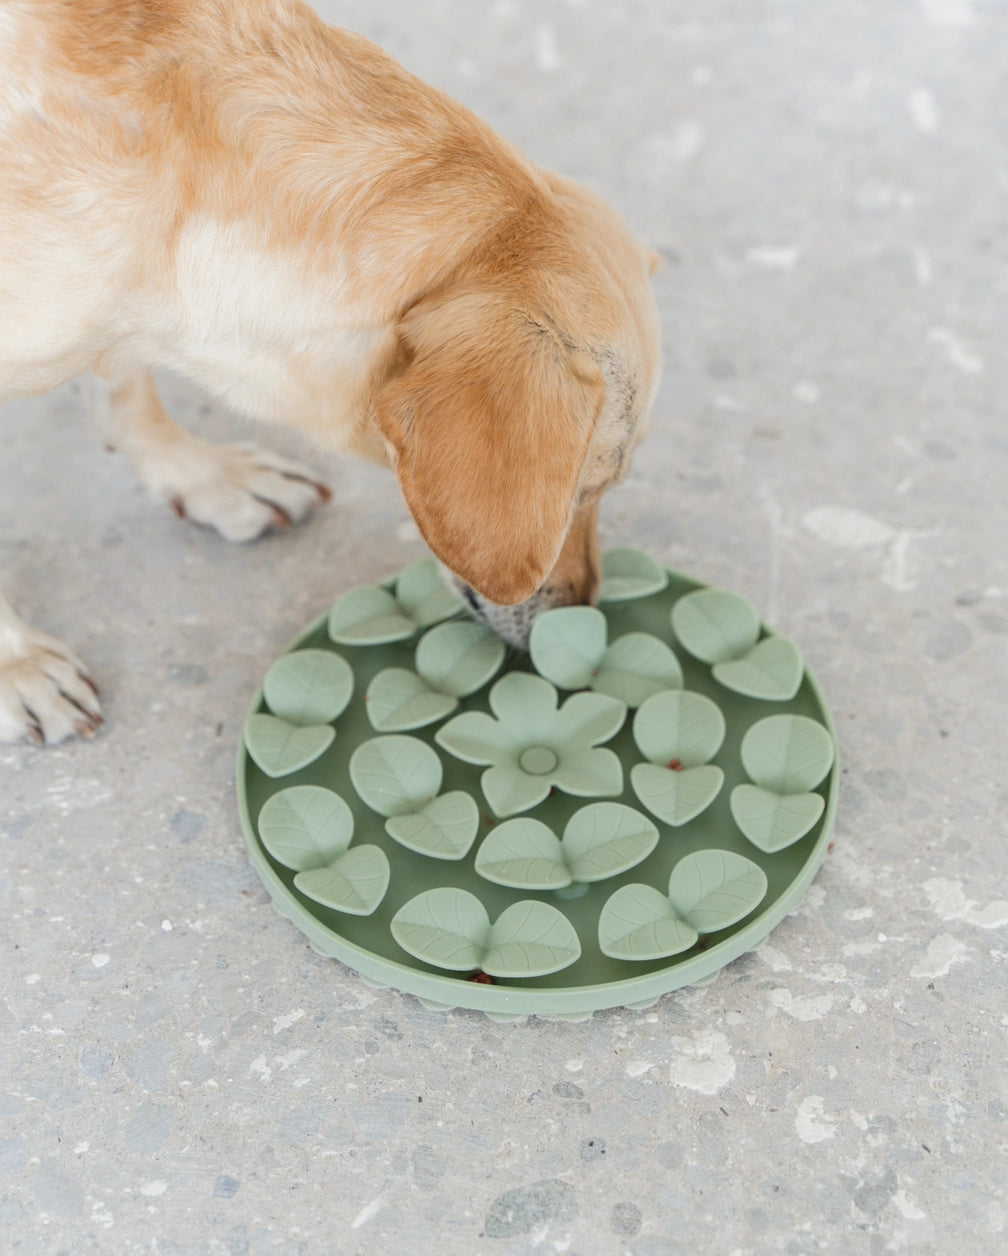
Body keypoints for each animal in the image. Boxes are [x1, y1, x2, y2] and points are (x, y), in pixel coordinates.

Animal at [0, 2, 662, 743]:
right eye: (585, 488)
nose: (586, 615)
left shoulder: (111, 318)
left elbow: (125, 388)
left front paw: (202, 477)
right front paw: (17, 667)